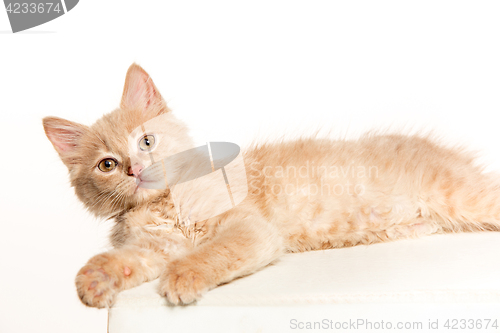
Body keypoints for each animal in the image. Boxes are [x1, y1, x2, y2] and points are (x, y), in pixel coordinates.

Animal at [42, 63, 500, 308]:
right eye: (107, 165)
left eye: (147, 141)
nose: (136, 169)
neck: (162, 205)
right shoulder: (153, 249)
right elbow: (121, 260)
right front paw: (94, 280)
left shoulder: (249, 228)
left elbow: (214, 251)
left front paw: (184, 277)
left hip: (464, 196)